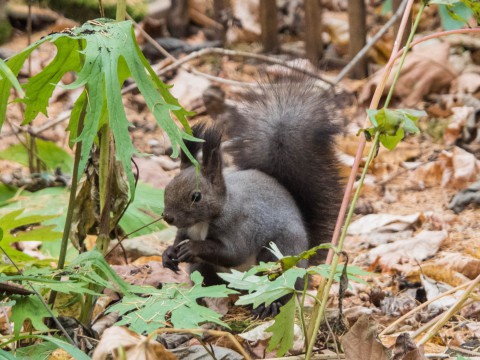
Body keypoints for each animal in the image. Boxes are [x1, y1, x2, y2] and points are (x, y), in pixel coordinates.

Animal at [163, 76, 344, 316]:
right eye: (167, 187)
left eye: (196, 197)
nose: (168, 217)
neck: (203, 222)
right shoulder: (186, 229)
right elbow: (179, 240)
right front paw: (168, 253)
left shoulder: (239, 227)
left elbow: (233, 252)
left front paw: (192, 248)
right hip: (204, 270)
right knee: (208, 281)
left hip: (278, 257)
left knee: (281, 290)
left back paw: (269, 306)